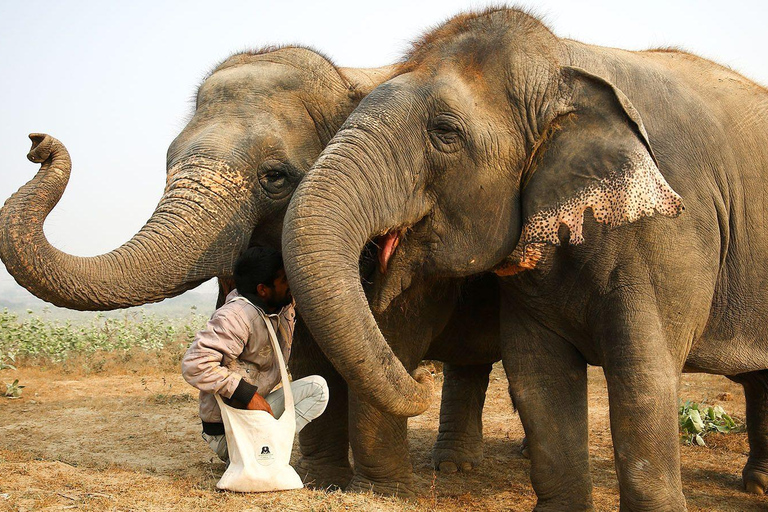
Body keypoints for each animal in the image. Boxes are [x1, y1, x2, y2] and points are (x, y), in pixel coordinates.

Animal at [284, 9, 768, 512]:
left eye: (445, 132)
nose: (420, 381)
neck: (565, 64)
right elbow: (538, 375)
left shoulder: (668, 232)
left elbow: (643, 376)